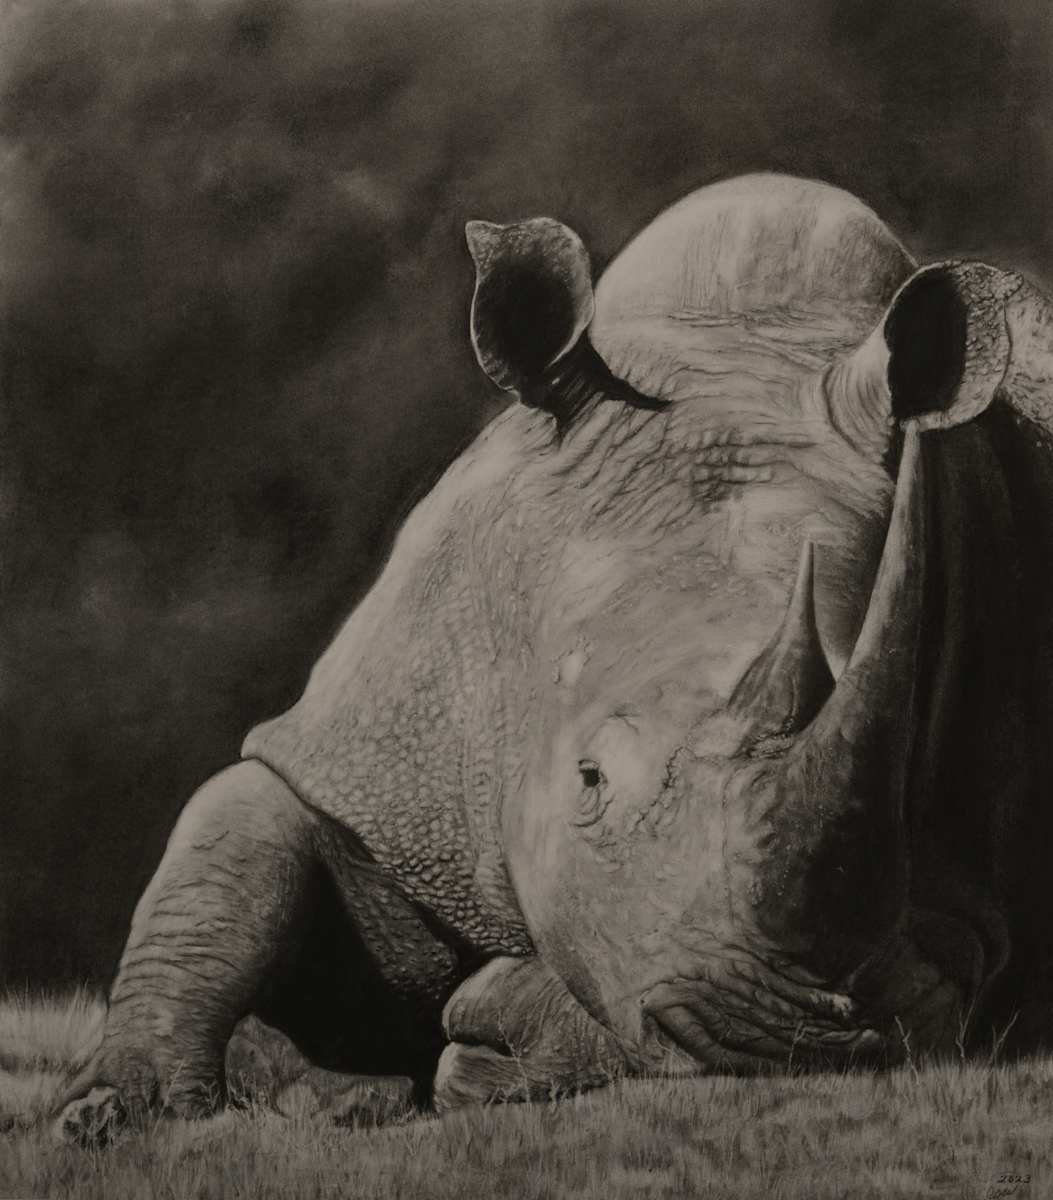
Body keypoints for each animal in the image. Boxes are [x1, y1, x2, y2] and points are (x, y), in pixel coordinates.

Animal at [57, 173, 1053, 1143]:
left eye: (905, 794)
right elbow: (235, 842)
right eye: (587, 778)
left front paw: (497, 1034)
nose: (777, 1036)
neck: (741, 352)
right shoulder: (382, 751)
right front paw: (117, 1112)